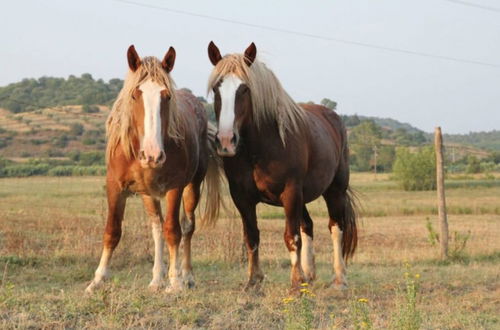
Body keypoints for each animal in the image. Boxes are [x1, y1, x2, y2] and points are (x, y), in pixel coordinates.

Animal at [86, 45, 221, 294]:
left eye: (166, 96)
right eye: (134, 95)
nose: (152, 155)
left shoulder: (175, 188)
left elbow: (173, 231)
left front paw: (175, 282)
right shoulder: (115, 187)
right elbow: (112, 231)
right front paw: (97, 280)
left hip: (193, 186)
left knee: (187, 227)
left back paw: (187, 276)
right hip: (148, 194)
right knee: (157, 228)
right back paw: (157, 279)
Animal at [209, 42, 358, 292]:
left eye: (245, 89)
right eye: (216, 88)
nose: (226, 141)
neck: (261, 147)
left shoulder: (290, 192)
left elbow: (291, 236)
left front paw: (296, 281)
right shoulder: (242, 197)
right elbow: (252, 236)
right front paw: (254, 281)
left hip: (334, 190)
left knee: (336, 228)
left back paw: (339, 279)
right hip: (303, 196)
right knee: (308, 226)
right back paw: (310, 273)